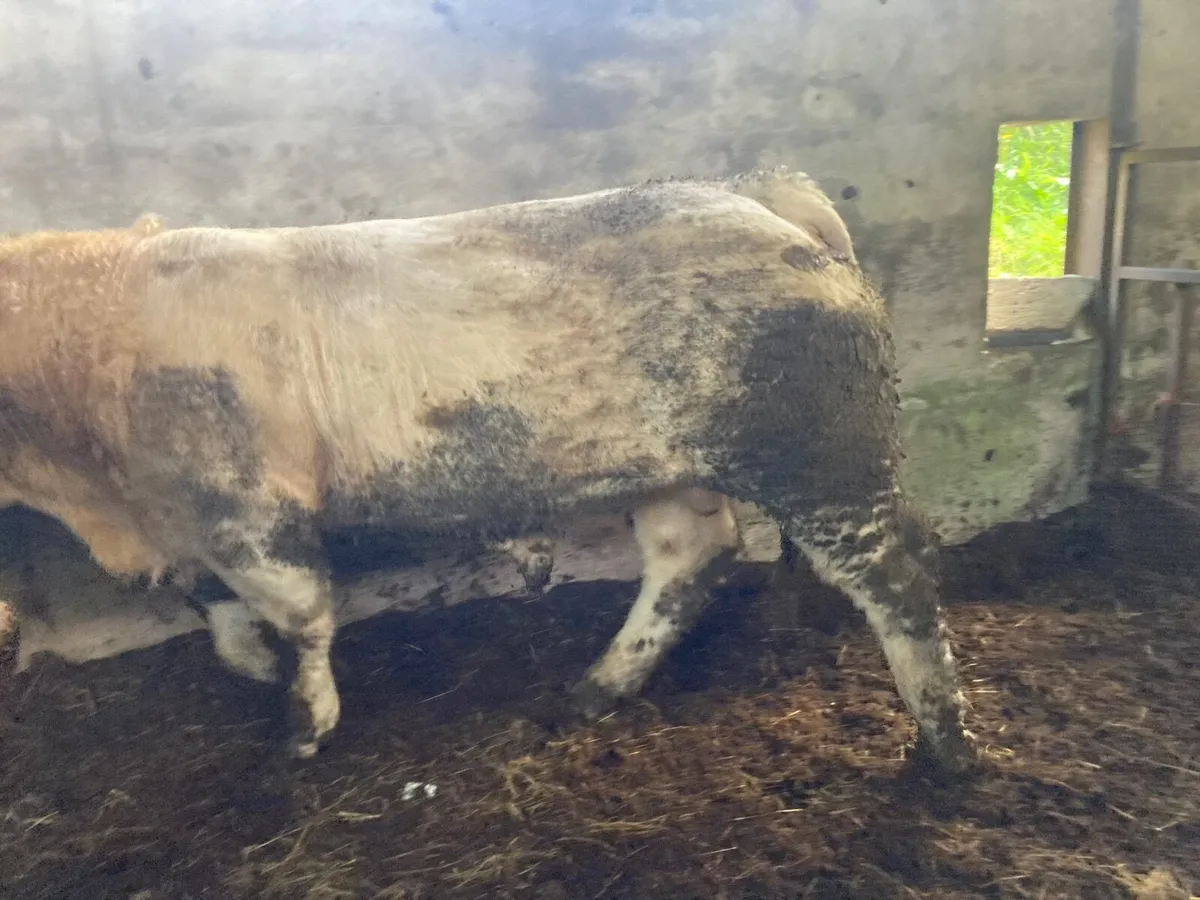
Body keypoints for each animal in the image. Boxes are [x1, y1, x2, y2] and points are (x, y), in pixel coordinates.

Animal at [0, 167, 976, 773]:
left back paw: (947, 746)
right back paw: (595, 689)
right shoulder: (185, 519)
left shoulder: (251, 511)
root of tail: (756, 195)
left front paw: (302, 726)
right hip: (669, 467)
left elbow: (301, 614)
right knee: (688, 559)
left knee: (899, 572)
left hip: (822, 458)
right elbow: (215, 605)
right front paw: (251, 668)